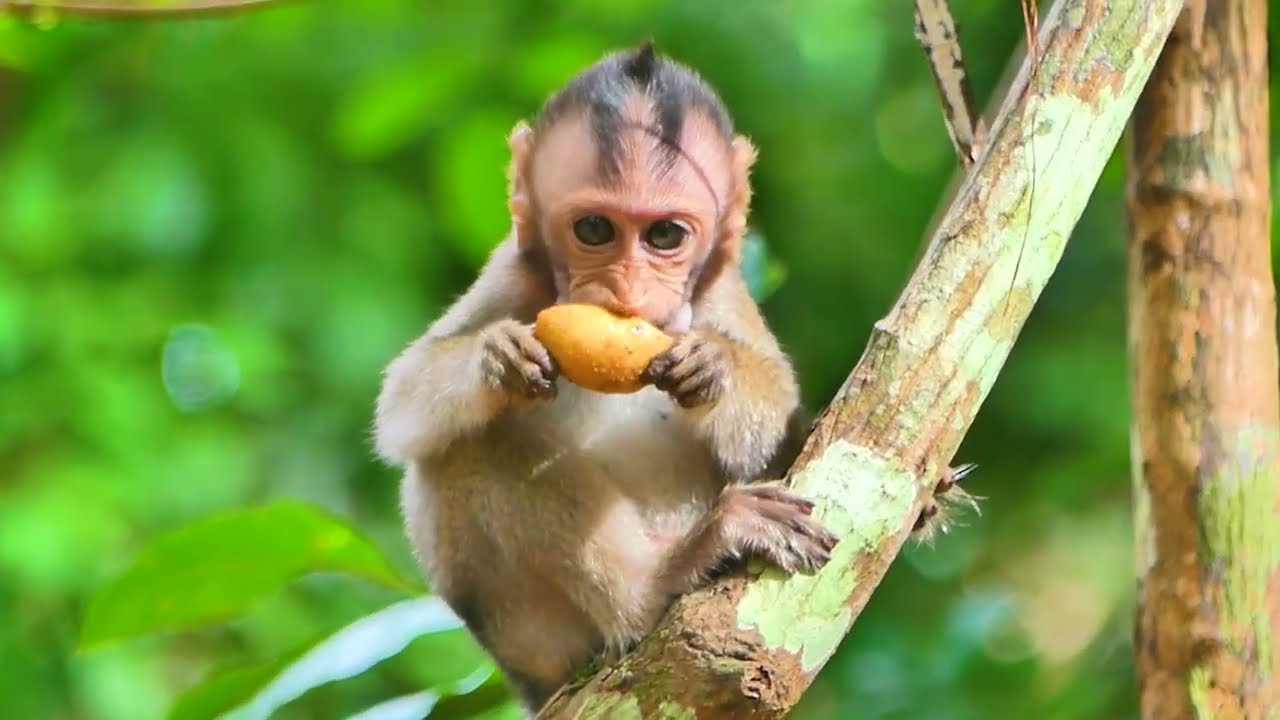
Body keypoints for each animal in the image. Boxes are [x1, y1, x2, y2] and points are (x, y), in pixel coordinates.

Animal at [373, 43, 972, 715]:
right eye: (594, 230)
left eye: (664, 235)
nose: (628, 291)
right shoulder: (513, 273)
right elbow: (399, 406)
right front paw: (497, 358)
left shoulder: (724, 289)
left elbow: (775, 428)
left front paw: (716, 371)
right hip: (530, 633)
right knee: (466, 448)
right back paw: (666, 577)